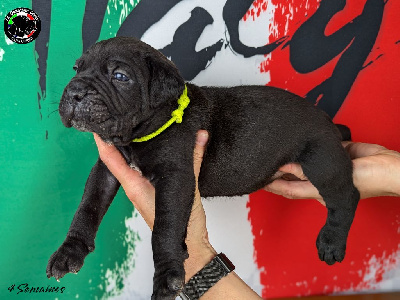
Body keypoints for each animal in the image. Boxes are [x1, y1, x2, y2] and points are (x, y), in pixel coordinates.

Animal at [48, 36, 360, 298]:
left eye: (120, 76)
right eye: (76, 69)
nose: (74, 91)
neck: (137, 138)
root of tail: (329, 122)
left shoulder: (176, 177)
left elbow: (165, 228)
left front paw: (167, 277)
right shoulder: (106, 168)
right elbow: (88, 206)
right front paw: (70, 251)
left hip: (321, 160)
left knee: (346, 196)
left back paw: (332, 241)